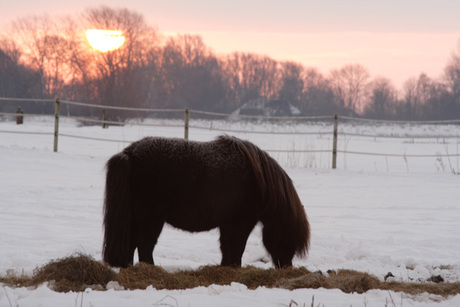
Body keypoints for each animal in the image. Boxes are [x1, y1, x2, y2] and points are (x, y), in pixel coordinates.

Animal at [102, 136, 310, 268]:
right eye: (288, 236)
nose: (286, 266)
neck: (260, 181)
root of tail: (130, 153)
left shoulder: (229, 223)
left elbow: (227, 247)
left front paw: (227, 267)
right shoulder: (242, 222)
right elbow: (237, 246)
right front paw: (234, 267)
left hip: (135, 218)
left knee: (131, 243)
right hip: (151, 219)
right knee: (144, 245)